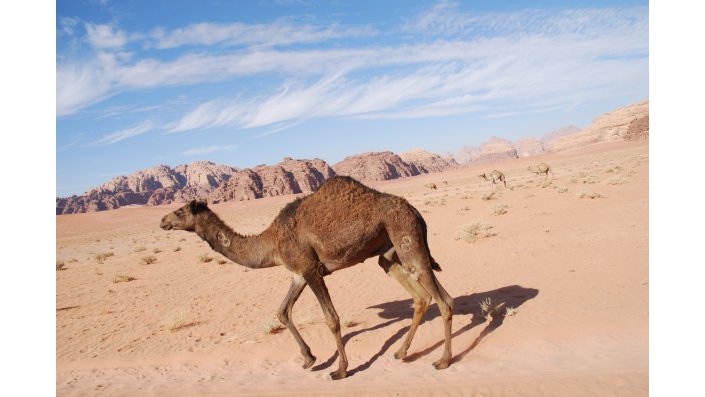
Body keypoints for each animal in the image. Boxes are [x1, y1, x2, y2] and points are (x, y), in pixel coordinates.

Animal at [159, 176, 454, 378]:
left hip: (407, 237)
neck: (272, 242)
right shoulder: (298, 274)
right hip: (390, 251)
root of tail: (416, 211)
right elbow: (282, 311)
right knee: (424, 296)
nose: (162, 221)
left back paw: (443, 361)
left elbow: (331, 319)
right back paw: (402, 352)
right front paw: (309, 359)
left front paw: (341, 370)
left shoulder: (311, 269)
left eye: (180, 211)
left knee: (443, 300)